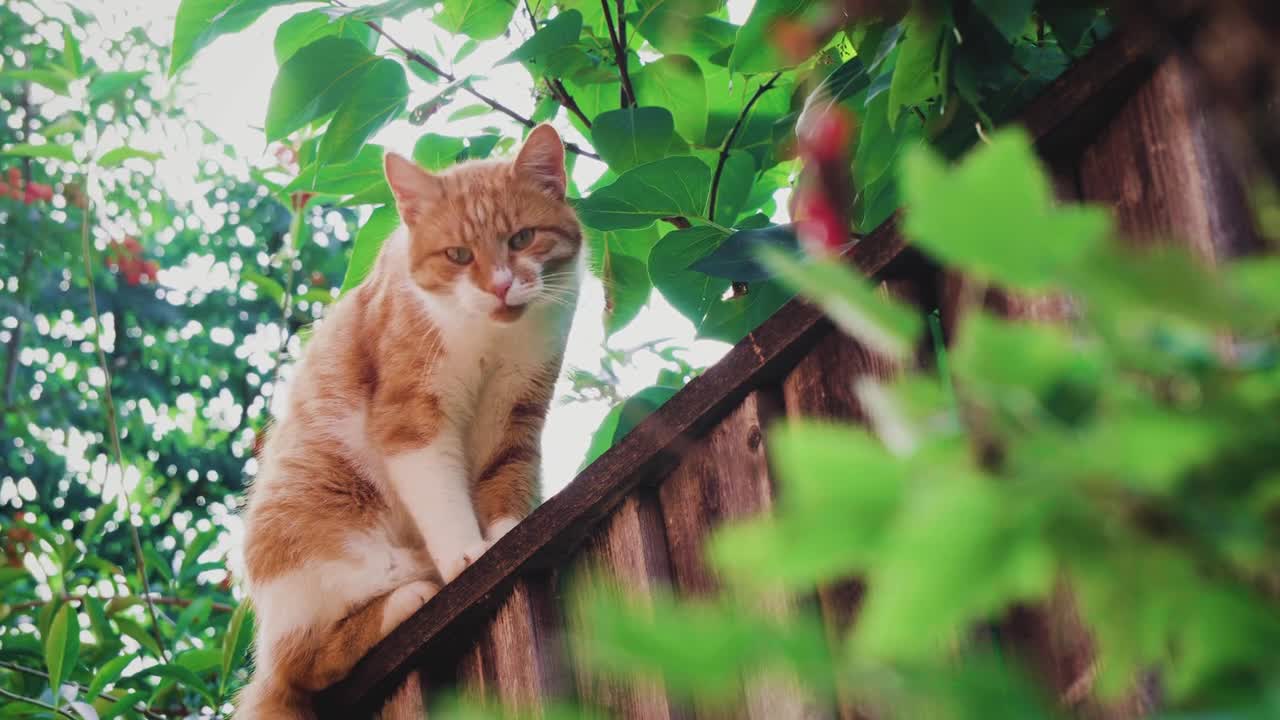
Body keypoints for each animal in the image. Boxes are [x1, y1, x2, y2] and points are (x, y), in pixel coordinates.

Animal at [238, 124, 583, 717]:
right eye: (458, 254)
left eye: (521, 239)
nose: (499, 285)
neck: (490, 338)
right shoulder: (411, 417)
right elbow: (441, 497)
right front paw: (468, 556)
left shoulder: (517, 409)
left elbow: (506, 482)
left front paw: (507, 536)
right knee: (305, 664)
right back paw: (410, 597)